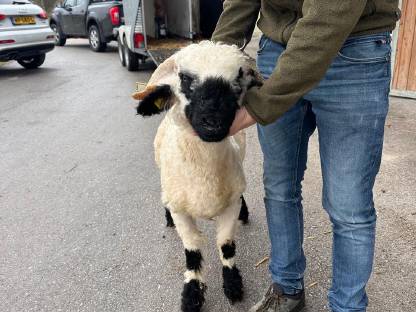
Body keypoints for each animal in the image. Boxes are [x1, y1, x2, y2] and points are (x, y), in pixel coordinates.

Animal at [133, 41, 262, 312]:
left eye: (239, 78)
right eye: (184, 78)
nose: (213, 122)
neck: (205, 177)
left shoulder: (230, 204)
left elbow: (226, 245)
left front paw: (233, 285)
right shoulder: (182, 211)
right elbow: (192, 252)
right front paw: (191, 295)